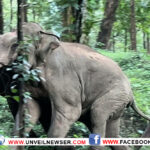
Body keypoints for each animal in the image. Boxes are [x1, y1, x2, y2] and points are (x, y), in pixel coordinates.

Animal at [0, 22, 150, 150]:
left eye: (15, 45)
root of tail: (131, 94)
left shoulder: (62, 76)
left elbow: (70, 111)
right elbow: (30, 110)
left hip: (116, 94)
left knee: (98, 113)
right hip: (118, 102)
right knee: (110, 132)